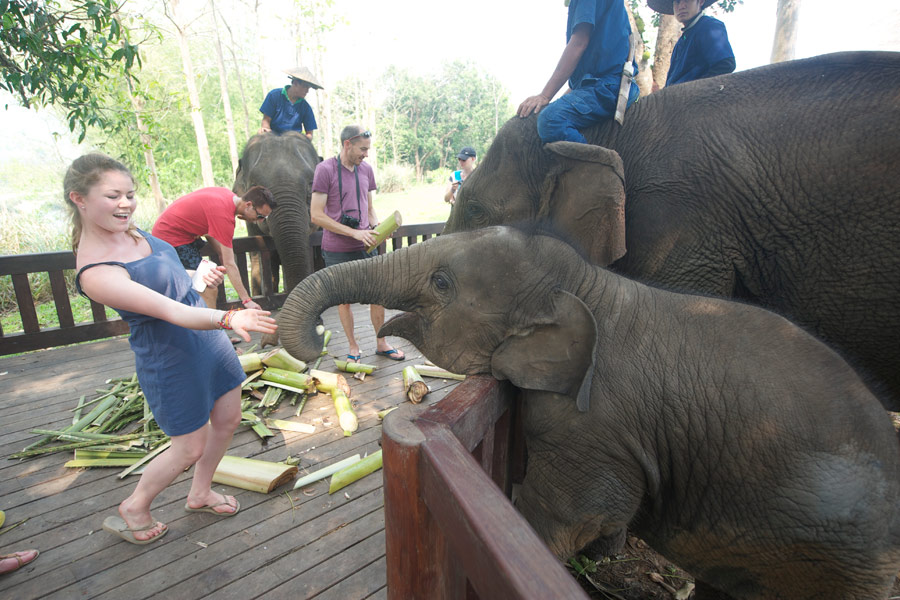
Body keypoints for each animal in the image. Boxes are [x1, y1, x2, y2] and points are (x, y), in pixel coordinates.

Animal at [274, 226, 900, 600]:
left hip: (838, 559)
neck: (587, 285)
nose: (317, 349)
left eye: (442, 282)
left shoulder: (595, 426)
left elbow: (569, 513)